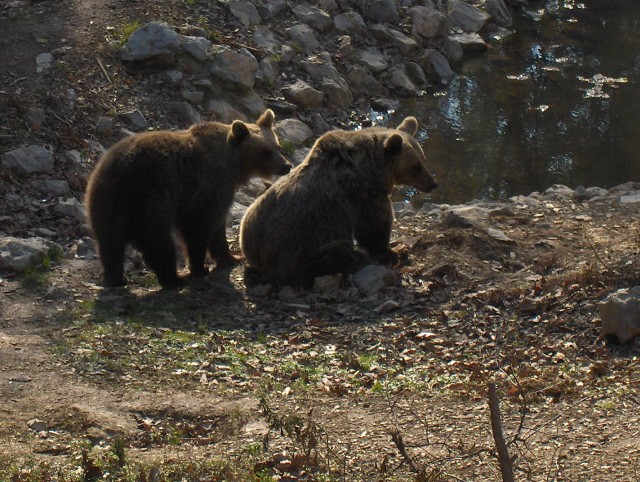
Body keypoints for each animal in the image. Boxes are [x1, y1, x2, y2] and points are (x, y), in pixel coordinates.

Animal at [86, 109, 292, 288]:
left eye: (278, 146)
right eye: (265, 152)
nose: (286, 166)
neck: (232, 165)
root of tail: (118, 174)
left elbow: (216, 226)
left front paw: (231, 258)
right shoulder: (208, 187)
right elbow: (200, 226)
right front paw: (201, 267)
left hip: (103, 203)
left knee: (109, 243)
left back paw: (115, 278)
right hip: (148, 199)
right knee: (158, 242)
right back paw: (173, 279)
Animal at [240, 116, 440, 290]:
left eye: (423, 159)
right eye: (416, 166)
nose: (433, 183)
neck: (372, 168)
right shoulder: (362, 194)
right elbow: (374, 226)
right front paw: (393, 251)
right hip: (300, 253)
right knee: (339, 255)